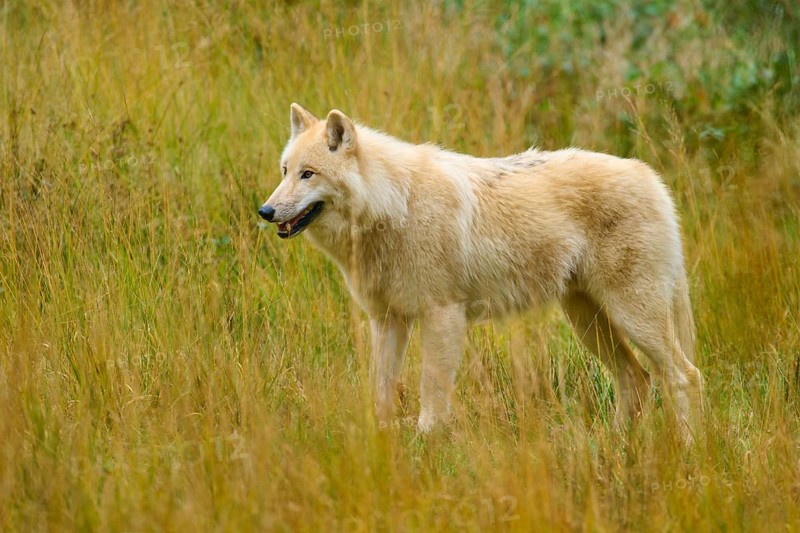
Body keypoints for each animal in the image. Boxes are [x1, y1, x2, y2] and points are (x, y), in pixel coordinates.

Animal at [259, 103, 704, 441]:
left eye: (308, 174)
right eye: (284, 171)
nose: (265, 211)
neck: (394, 206)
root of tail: (652, 178)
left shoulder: (442, 317)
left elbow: (431, 392)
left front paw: (426, 443)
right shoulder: (387, 321)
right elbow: (381, 390)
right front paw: (382, 439)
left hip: (633, 317)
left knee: (685, 376)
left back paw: (686, 450)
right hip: (587, 321)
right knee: (636, 380)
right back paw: (612, 447)